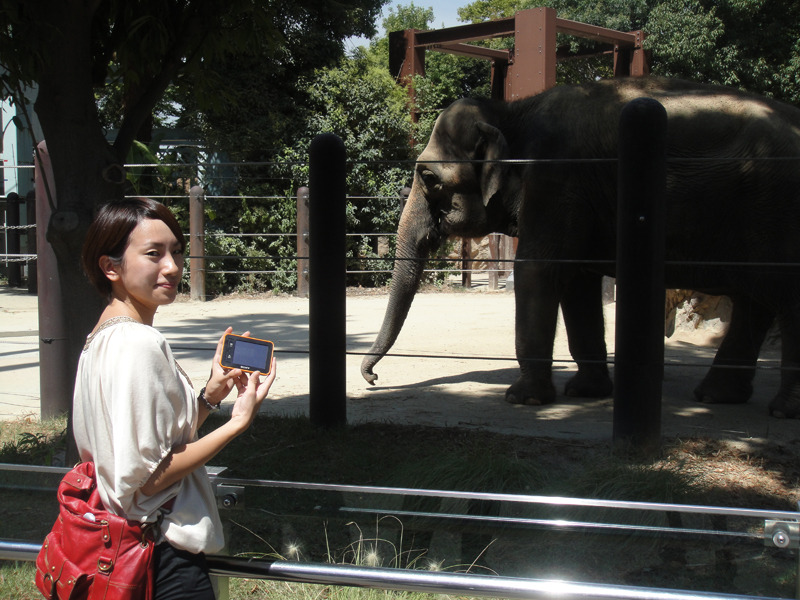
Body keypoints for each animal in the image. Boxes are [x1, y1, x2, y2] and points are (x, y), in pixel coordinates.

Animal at [364, 76, 800, 418]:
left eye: (429, 178)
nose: (371, 378)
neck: (511, 112)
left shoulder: (555, 179)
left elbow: (536, 271)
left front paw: (523, 401)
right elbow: (576, 282)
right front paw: (584, 393)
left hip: (776, 209)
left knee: (779, 294)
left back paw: (779, 410)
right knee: (755, 300)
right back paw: (716, 397)